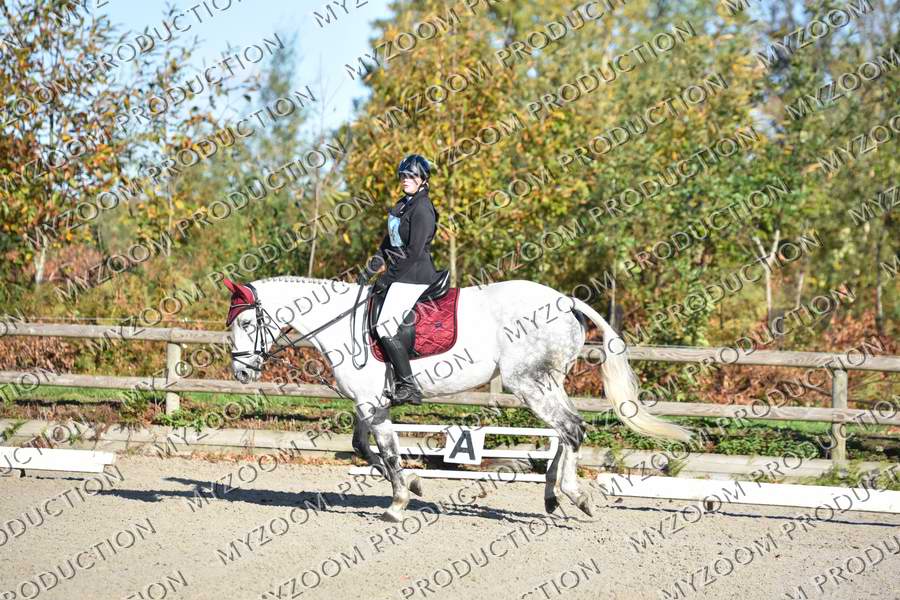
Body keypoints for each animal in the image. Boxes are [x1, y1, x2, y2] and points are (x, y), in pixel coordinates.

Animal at [222, 275, 693, 522]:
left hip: (528, 383)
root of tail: (565, 299)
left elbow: (386, 452)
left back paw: (576, 495)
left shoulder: (373, 405)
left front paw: (398, 503)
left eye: (246, 323)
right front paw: (413, 484)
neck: (340, 323)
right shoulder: (369, 403)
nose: (241, 373)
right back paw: (552, 496)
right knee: (564, 432)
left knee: (572, 429)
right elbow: (362, 447)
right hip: (547, 381)